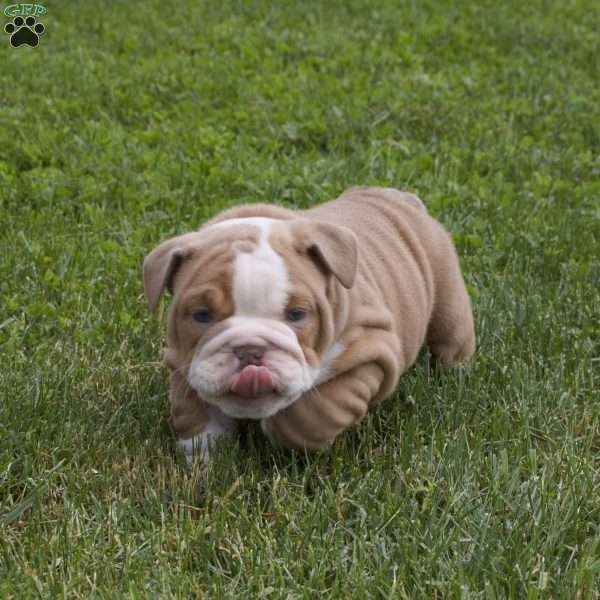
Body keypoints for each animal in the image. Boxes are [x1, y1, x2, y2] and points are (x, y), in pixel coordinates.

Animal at [143, 188, 476, 464]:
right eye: (201, 315)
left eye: (297, 314)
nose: (250, 350)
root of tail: (400, 198)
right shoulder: (183, 361)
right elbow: (195, 414)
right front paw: (204, 463)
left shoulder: (369, 352)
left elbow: (314, 413)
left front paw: (279, 431)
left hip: (447, 293)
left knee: (451, 336)